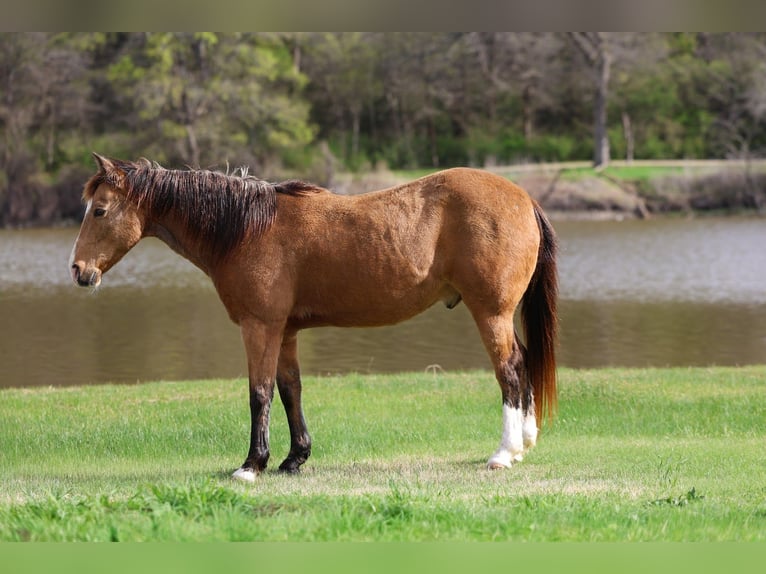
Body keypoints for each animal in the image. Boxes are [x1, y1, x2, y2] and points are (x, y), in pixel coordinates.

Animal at [69, 153, 558, 481]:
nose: (78, 271)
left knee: (510, 370)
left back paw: (504, 453)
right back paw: (526, 443)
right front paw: (294, 458)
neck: (247, 228)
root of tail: (523, 197)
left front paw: (252, 465)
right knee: (525, 363)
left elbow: (260, 393)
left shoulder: (260, 327)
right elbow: (291, 391)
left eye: (100, 210)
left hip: (490, 313)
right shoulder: (284, 331)